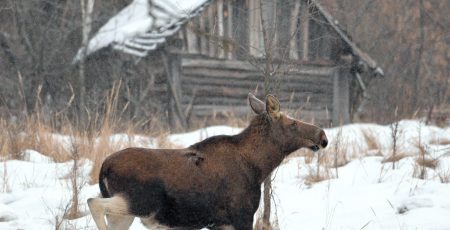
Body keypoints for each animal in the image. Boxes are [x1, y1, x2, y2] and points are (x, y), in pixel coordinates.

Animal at [88, 93, 326, 230]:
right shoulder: (242, 215)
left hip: (126, 213)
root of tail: (104, 168)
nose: (322, 136)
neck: (258, 167)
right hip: (138, 202)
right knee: (93, 202)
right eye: (293, 123)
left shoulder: (219, 223)